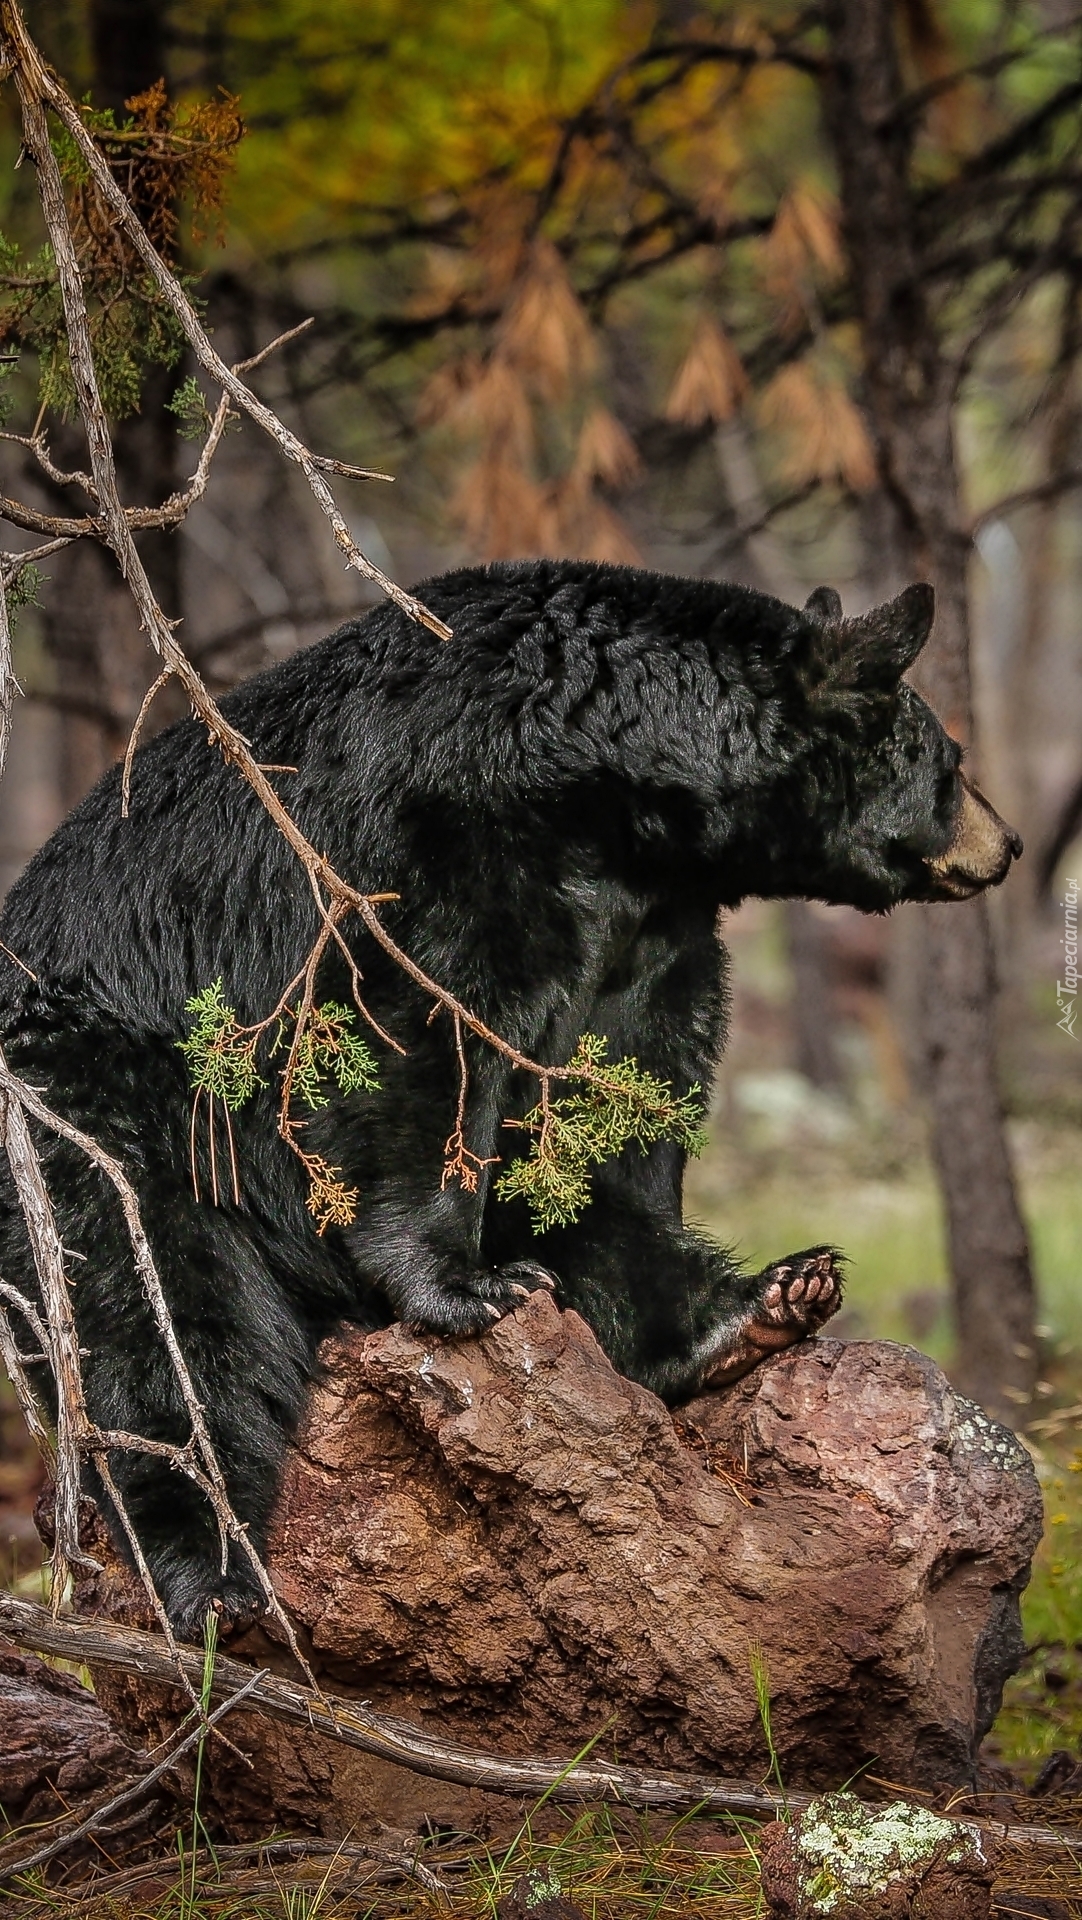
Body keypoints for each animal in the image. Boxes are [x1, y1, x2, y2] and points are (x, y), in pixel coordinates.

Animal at [0, 560, 1020, 1635]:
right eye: (950, 761)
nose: (1009, 843)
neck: (611, 778)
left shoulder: (653, 929)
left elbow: (619, 1112)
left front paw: (708, 1303)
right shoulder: (442, 842)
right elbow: (422, 1040)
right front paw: (461, 1287)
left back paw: (763, 1304)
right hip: (108, 1107)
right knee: (156, 1314)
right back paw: (212, 1572)